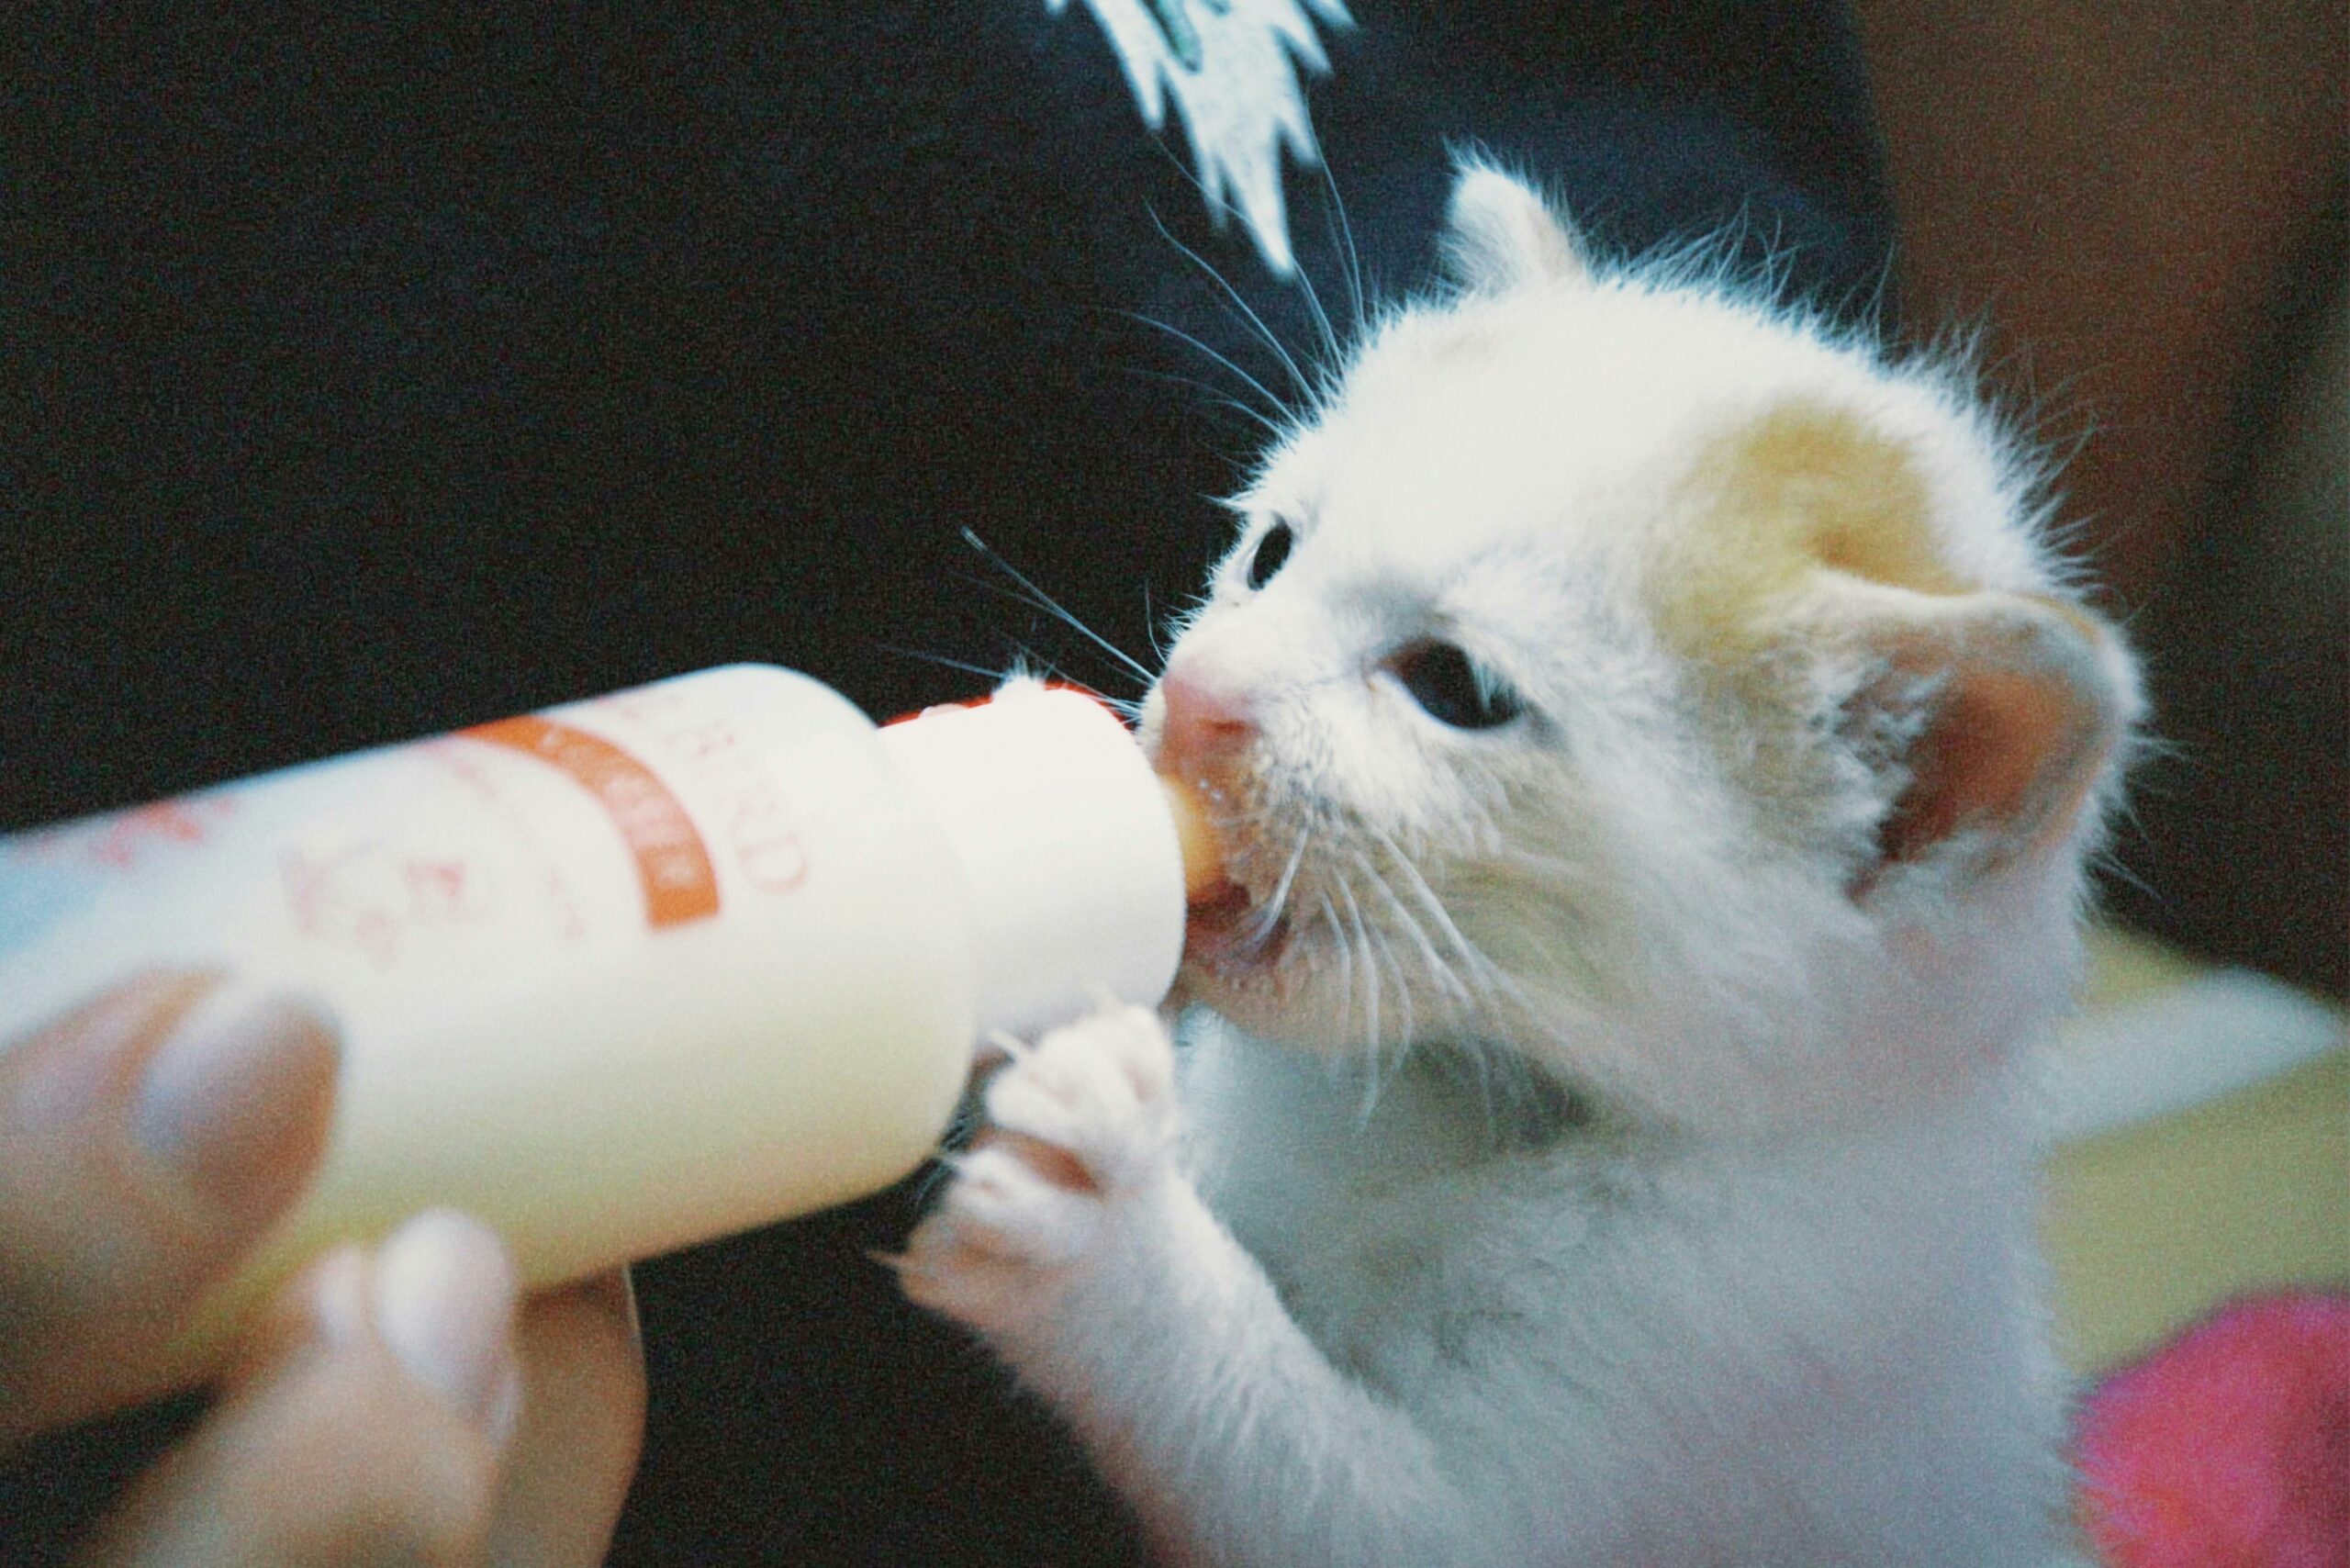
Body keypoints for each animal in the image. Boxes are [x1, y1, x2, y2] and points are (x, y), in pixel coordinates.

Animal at [888, 162, 2143, 1568]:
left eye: (1455, 688)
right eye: (1271, 552)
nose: (1202, 693)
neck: (1458, 1106)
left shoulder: (1706, 1363)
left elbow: (1328, 1491)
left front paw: (1105, 1219)